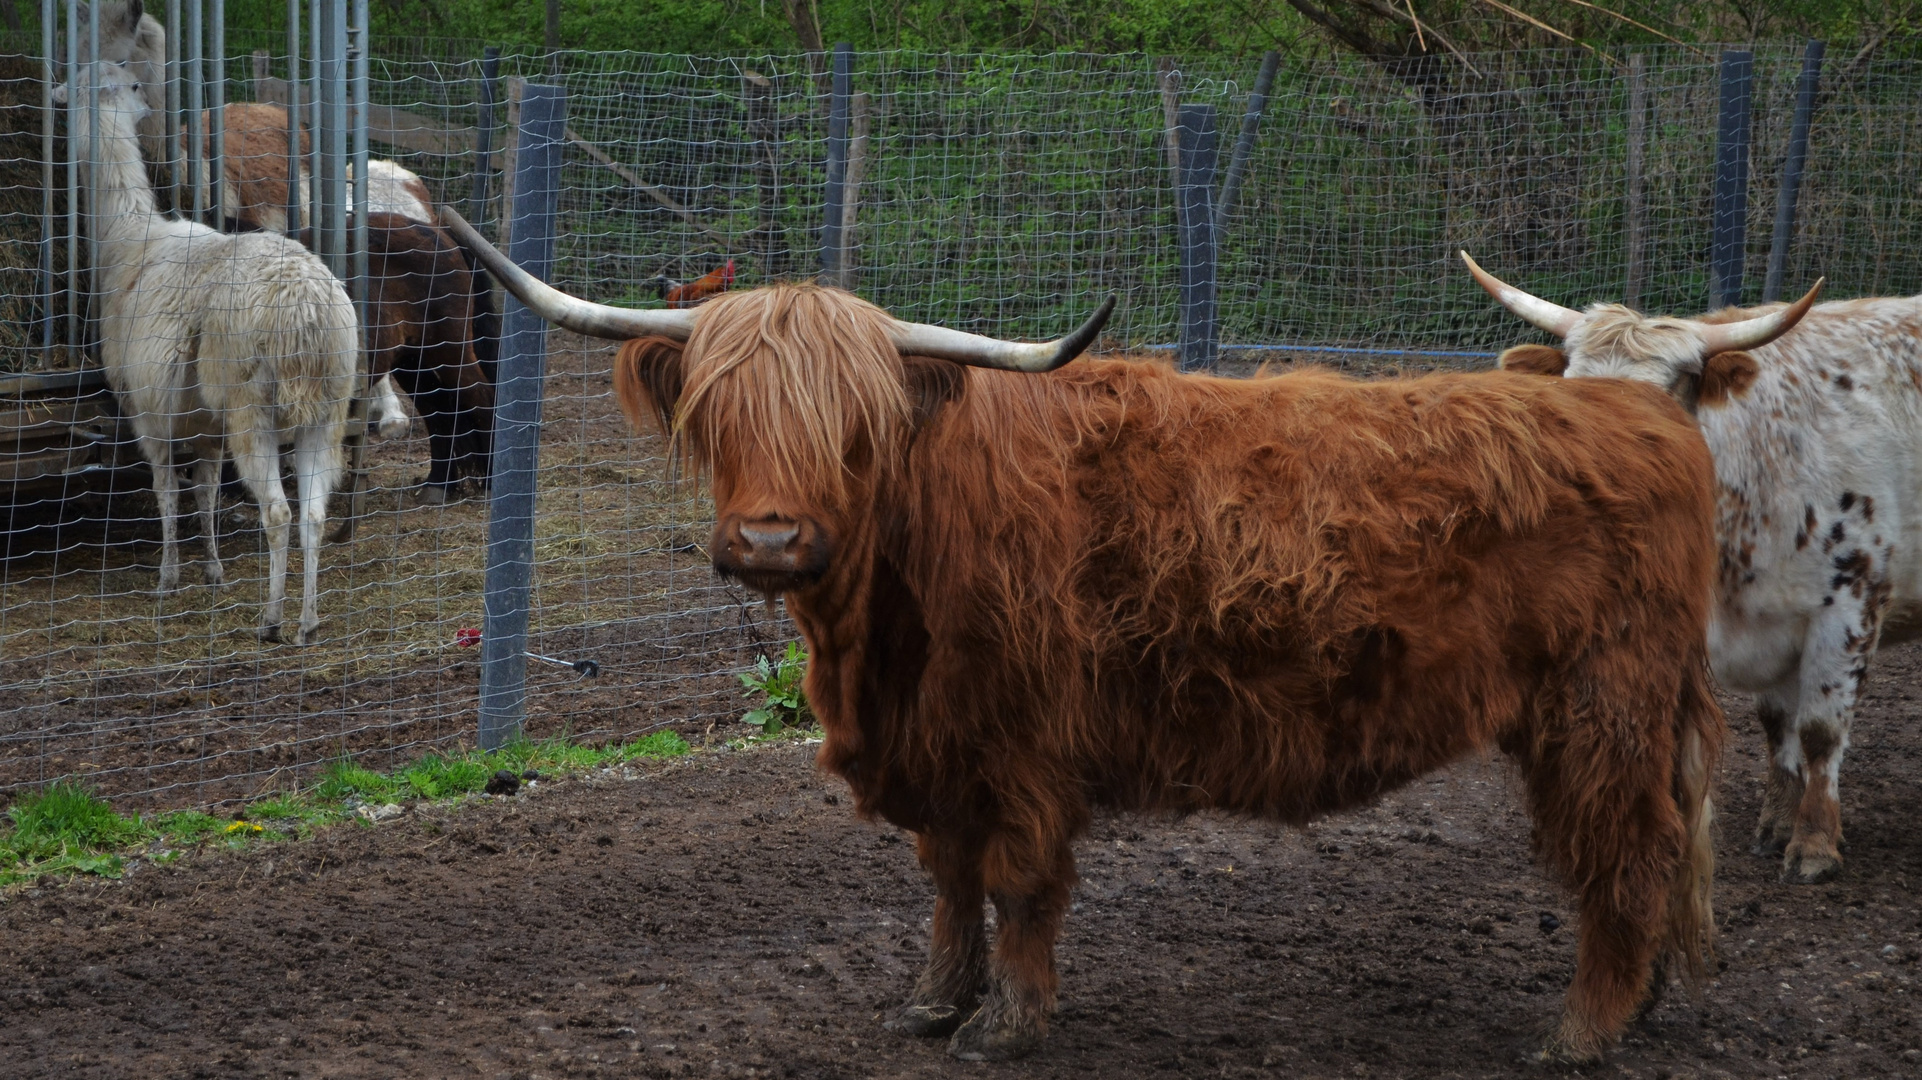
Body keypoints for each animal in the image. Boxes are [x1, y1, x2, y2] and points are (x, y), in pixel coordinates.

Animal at [445, 208, 1729, 1060]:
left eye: (853, 423)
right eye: (718, 414)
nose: (768, 538)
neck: (880, 634)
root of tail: (1639, 413)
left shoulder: (1022, 742)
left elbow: (1016, 883)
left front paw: (1007, 1025)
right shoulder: (938, 748)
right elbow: (948, 879)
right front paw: (932, 1003)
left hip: (1599, 706)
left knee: (1625, 849)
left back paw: (1581, 1032)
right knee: (1669, 842)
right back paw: (1649, 1005)